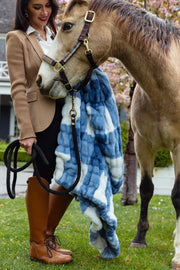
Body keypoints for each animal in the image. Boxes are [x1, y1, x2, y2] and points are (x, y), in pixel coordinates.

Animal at [36, 0, 180, 268]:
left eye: (67, 26)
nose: (40, 79)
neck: (168, 88)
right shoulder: (143, 145)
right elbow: (146, 189)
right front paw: (139, 238)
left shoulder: (179, 147)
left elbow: (176, 195)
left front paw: (178, 253)